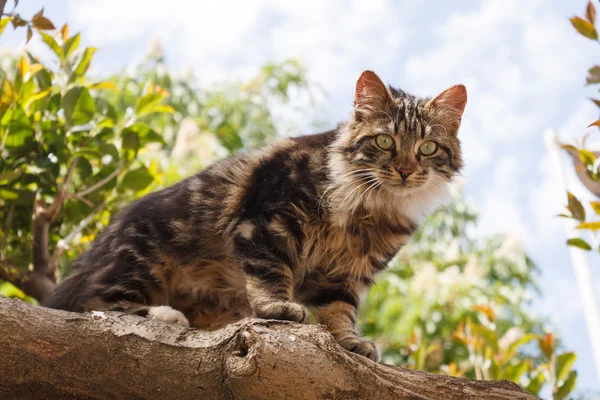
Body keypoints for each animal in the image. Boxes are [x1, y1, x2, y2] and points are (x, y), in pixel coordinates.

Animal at [44, 70, 466, 360]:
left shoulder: (345, 275)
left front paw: (350, 343)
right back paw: (165, 316)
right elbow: (270, 274)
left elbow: (340, 313)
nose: (406, 170)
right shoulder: (267, 221)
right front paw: (277, 307)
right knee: (97, 305)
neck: (372, 208)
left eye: (427, 148)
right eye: (385, 141)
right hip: (143, 259)